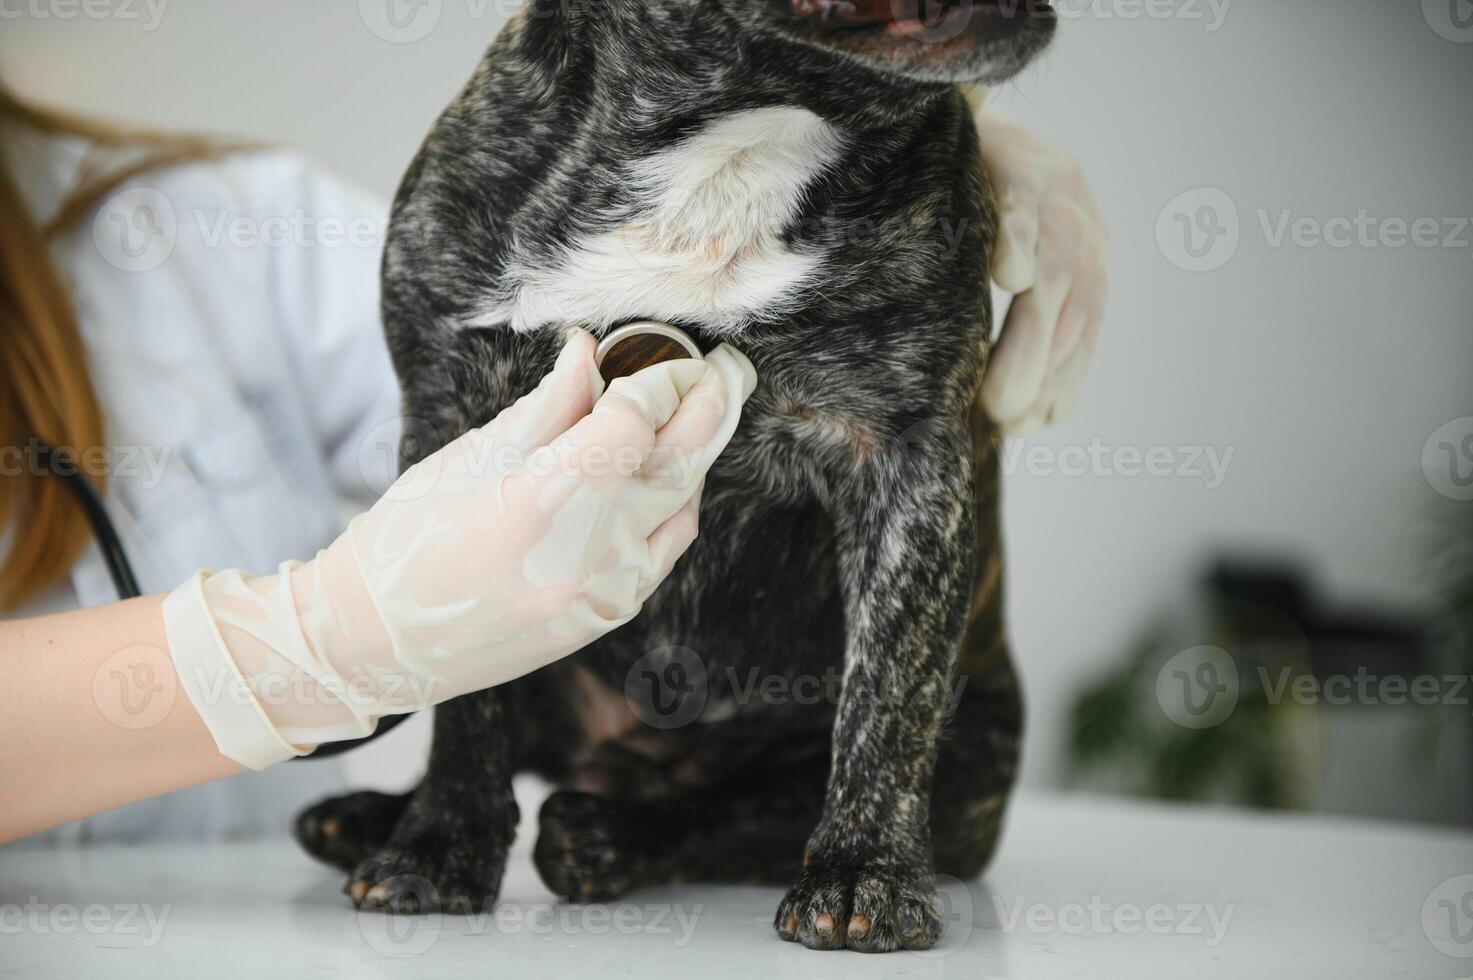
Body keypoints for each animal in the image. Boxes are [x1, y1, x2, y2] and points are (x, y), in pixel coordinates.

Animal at [299, 0, 1054, 949]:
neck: (744, 121)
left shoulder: (907, 459)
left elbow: (886, 696)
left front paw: (865, 872)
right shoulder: (451, 419)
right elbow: (467, 701)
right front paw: (439, 846)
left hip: (964, 760)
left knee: (737, 817)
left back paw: (605, 838)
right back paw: (372, 815)